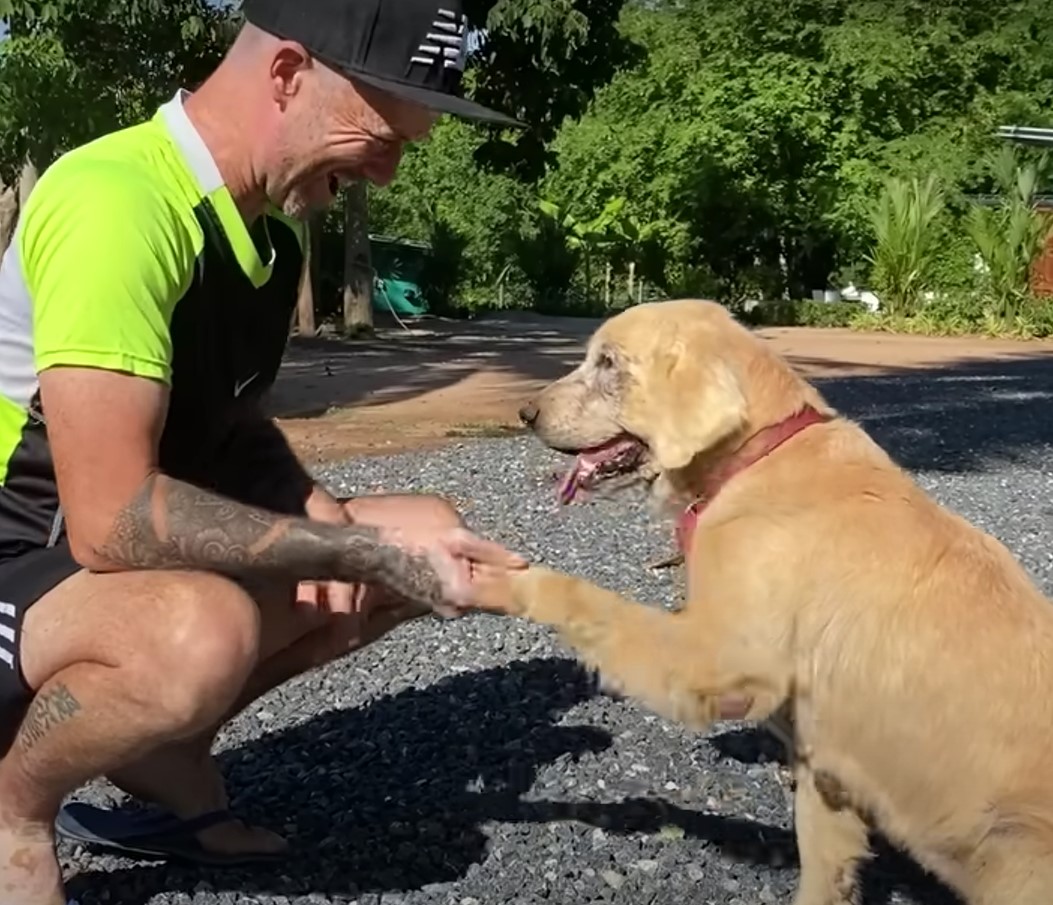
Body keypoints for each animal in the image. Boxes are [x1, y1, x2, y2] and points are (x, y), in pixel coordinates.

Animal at [471, 301, 1053, 905]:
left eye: (608, 362)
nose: (525, 412)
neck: (756, 457)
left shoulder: (722, 664)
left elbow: (588, 599)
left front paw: (501, 579)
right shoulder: (824, 772)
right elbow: (823, 868)